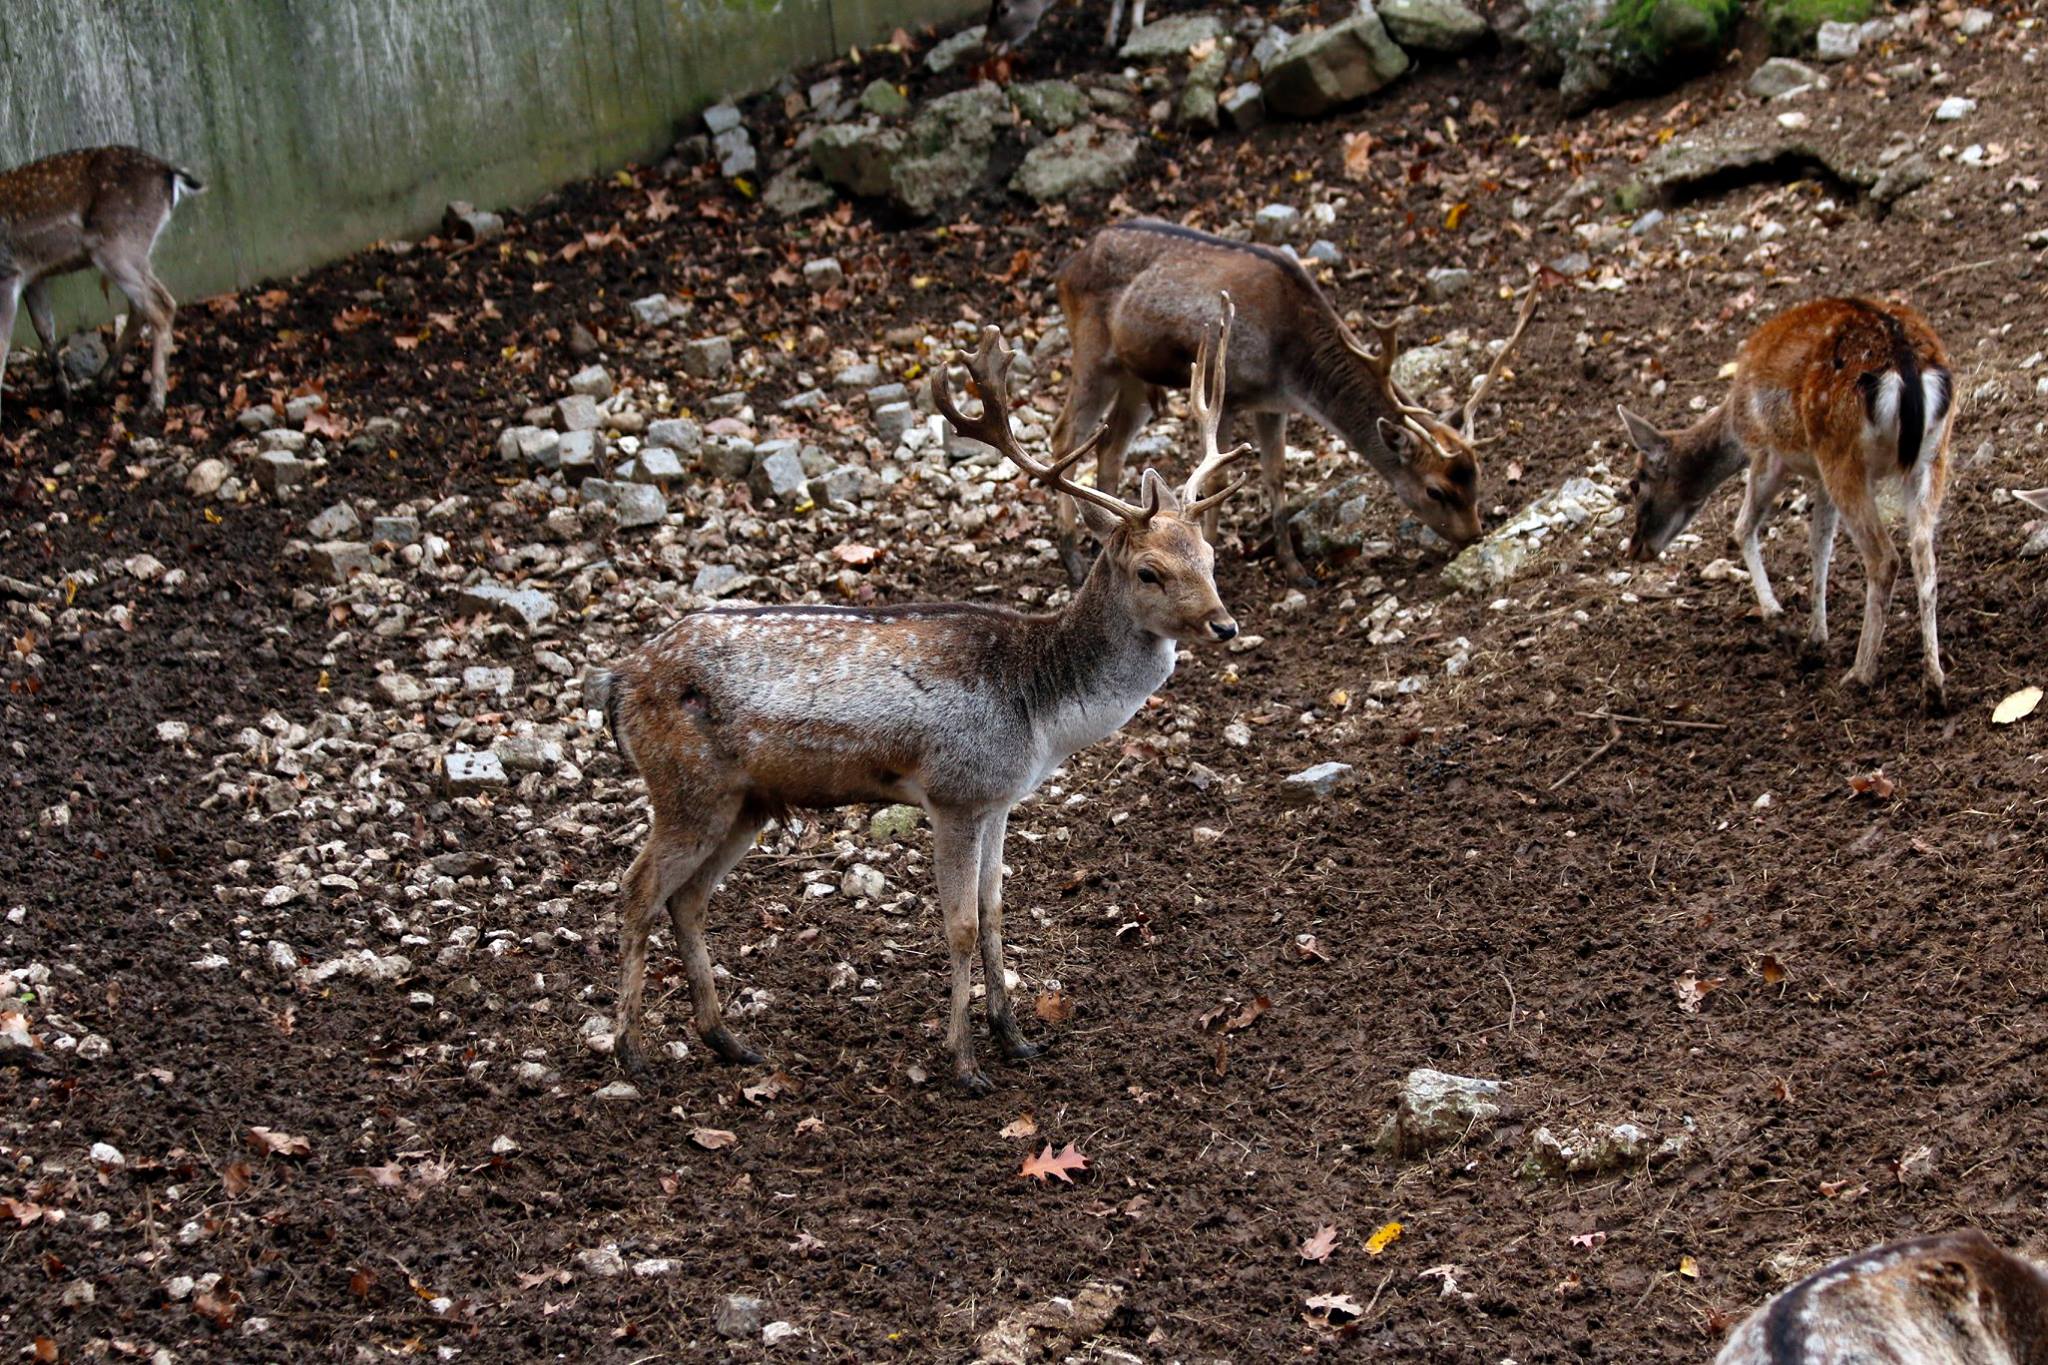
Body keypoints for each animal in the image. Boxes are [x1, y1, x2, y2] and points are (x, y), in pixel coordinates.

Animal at [0, 145, 205, 426]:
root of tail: (169, 173)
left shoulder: (8, 273)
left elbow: (3, 345)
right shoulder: (33, 275)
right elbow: (44, 329)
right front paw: (64, 398)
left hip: (117, 246)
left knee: (162, 305)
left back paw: (152, 406)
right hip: (133, 251)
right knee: (140, 307)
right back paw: (99, 383)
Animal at [589, 301, 1252, 1095]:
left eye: (1209, 555)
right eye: (1150, 571)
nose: (1224, 622)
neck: (1040, 713)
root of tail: (617, 681)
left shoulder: (1000, 798)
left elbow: (996, 913)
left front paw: (1016, 1038)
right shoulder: (955, 791)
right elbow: (959, 925)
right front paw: (964, 1063)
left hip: (745, 801)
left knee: (686, 898)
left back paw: (728, 1039)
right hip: (686, 788)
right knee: (635, 889)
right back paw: (631, 1052)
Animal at [1051, 219, 1539, 588]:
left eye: (1478, 477)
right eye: (1436, 490)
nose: (1474, 535)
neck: (1288, 365)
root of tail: (1067, 266)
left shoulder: (1272, 404)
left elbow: (1276, 474)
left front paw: (1295, 568)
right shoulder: (1226, 395)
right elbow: (1218, 480)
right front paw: (1211, 555)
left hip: (1135, 374)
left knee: (1110, 446)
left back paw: (1106, 540)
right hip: (1093, 352)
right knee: (1065, 435)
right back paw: (1073, 558)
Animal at [1617, 296, 1955, 709]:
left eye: (1635, 483)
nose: (1635, 547)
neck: (1733, 420)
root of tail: (1906, 365)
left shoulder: (1767, 452)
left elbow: (1742, 526)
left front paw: (1778, 616)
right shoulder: (1820, 476)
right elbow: (1819, 544)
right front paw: (1815, 636)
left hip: (1841, 453)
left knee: (1884, 557)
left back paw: (1860, 673)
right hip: (1931, 454)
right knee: (1923, 553)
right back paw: (1933, 682)